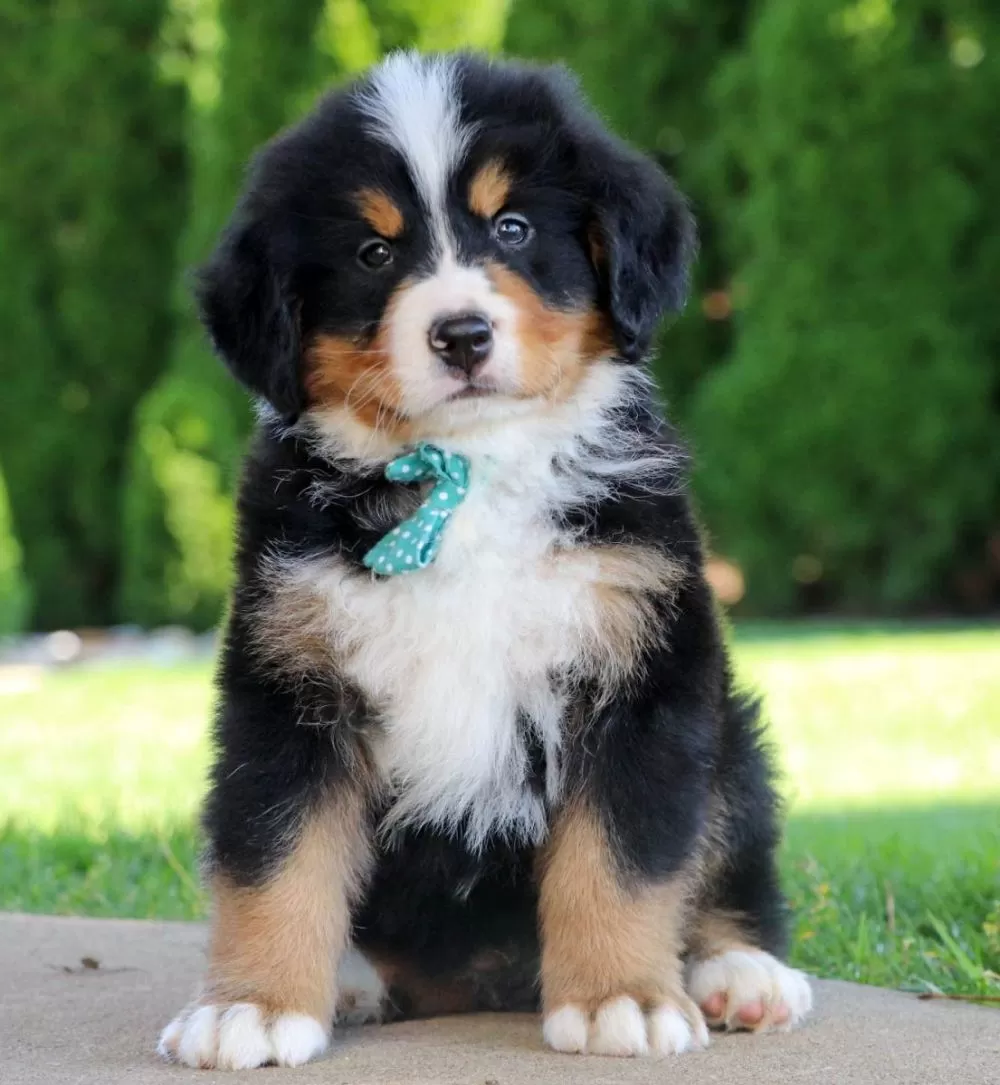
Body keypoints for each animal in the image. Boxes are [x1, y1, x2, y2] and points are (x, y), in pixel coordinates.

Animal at [158, 48, 811, 1067]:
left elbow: (622, 855)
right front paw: (254, 1006)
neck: (471, 472)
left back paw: (738, 972)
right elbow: (275, 855)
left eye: (513, 226)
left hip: (731, 733)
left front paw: (622, 995)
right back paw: (351, 979)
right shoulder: (291, 682)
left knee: (727, 848)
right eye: (374, 253)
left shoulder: (640, 671)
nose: (460, 333)